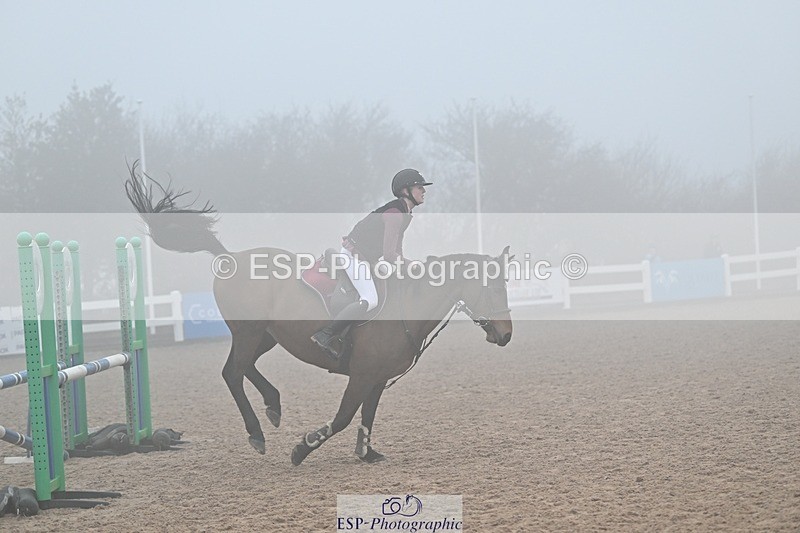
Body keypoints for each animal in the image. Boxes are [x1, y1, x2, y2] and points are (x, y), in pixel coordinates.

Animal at [124, 166, 513, 465]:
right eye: (494, 289)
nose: (506, 335)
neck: (409, 307)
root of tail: (229, 257)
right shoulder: (362, 374)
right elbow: (342, 417)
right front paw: (303, 448)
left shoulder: (378, 377)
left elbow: (367, 415)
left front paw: (366, 453)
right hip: (249, 332)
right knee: (233, 373)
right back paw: (257, 432)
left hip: (266, 335)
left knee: (241, 367)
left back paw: (273, 405)